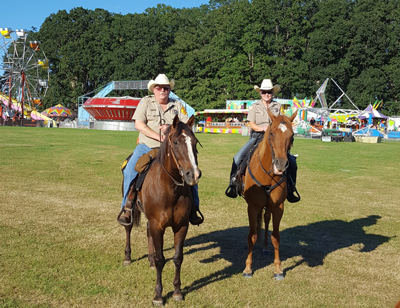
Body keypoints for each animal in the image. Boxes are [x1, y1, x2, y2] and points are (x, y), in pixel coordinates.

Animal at [122, 115, 202, 306]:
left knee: (147, 232)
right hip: (132, 211)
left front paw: (177, 292)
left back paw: (149, 260)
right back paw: (127, 257)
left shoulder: (181, 226)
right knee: (128, 227)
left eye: (195, 142)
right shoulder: (158, 225)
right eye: (176, 142)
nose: (193, 174)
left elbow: (178, 257)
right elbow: (161, 260)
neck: (170, 189)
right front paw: (158, 295)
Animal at [238, 108, 296, 280]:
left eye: (292, 135)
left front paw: (278, 269)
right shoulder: (252, 206)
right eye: (271, 133)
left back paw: (264, 246)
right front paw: (248, 268)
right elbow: (251, 236)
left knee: (265, 219)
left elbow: (275, 237)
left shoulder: (278, 207)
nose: (281, 165)